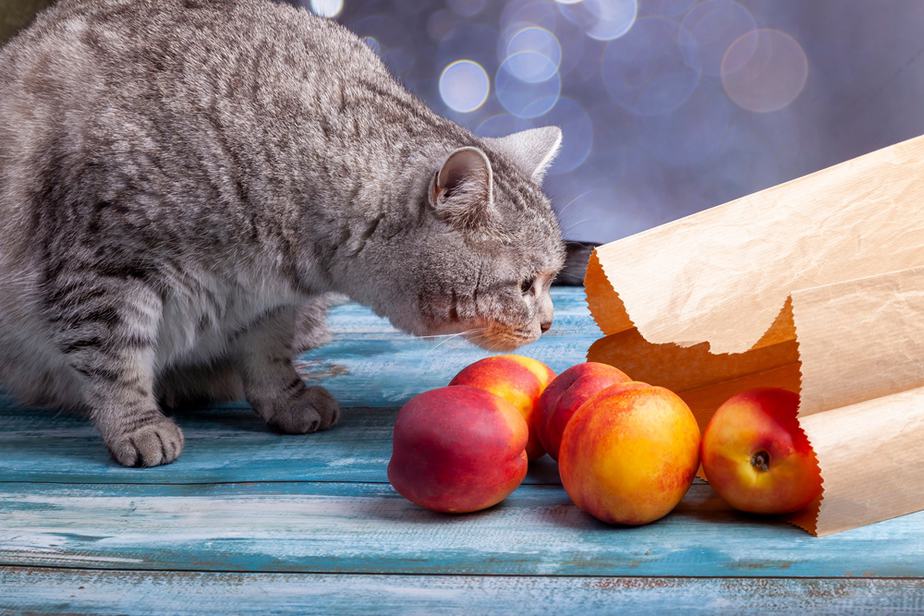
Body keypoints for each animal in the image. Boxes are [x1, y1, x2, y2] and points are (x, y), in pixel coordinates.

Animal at [0, 0, 564, 466]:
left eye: (550, 278)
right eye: (524, 285)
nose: (549, 323)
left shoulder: (269, 299)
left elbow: (268, 354)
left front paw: (287, 398)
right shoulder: (103, 268)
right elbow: (115, 363)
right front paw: (137, 424)